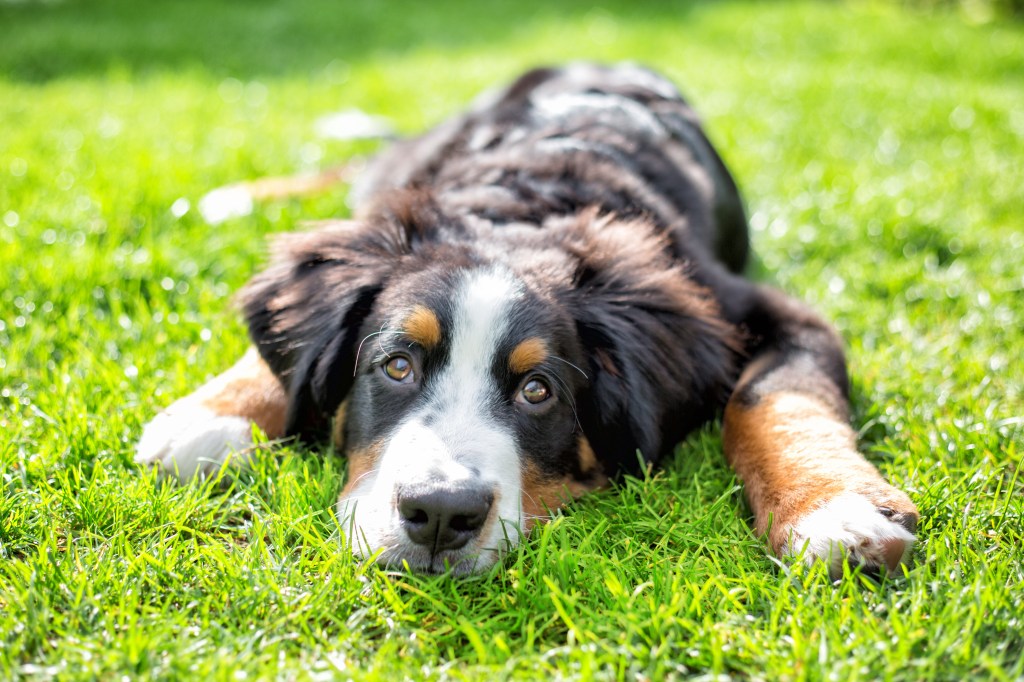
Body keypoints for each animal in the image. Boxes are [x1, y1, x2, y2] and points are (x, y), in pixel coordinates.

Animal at [136, 62, 921, 573]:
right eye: (397, 365)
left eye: (537, 390)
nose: (440, 514)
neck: (526, 209)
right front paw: (213, 413)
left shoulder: (761, 308)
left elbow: (772, 397)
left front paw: (834, 510)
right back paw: (235, 195)